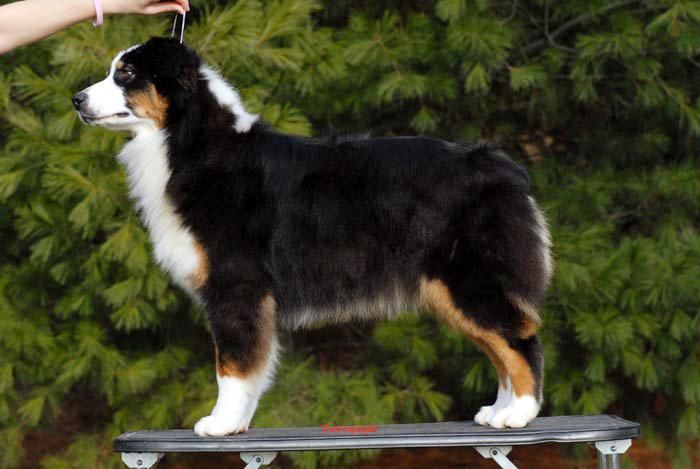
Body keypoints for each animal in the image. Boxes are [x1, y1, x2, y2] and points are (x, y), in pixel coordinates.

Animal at [72, 37, 552, 436]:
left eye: (126, 74)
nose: (76, 99)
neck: (192, 144)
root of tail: (503, 166)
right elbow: (253, 363)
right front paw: (239, 422)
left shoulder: (237, 285)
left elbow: (231, 363)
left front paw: (220, 423)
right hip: (452, 289)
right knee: (500, 344)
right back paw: (498, 410)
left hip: (469, 278)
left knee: (520, 339)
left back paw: (518, 413)